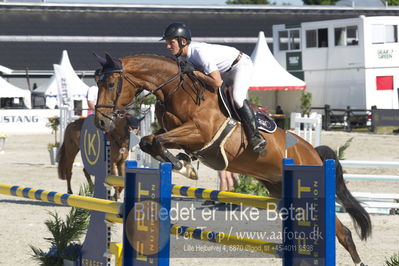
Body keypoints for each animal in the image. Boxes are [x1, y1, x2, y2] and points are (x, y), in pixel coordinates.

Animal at [93, 53, 372, 264]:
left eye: (110, 84)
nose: (101, 122)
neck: (176, 90)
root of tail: (313, 152)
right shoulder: (176, 133)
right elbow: (149, 141)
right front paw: (184, 164)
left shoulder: (198, 132)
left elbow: (156, 141)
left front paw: (182, 166)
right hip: (282, 191)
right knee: (340, 232)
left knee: (344, 233)